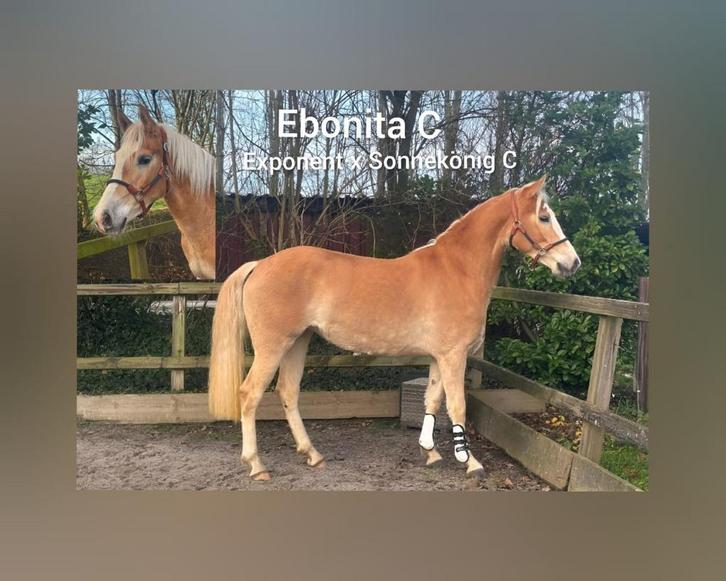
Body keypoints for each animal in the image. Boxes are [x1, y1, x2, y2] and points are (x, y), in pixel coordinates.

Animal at [207, 176, 580, 481]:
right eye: (544, 216)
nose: (572, 263)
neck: (457, 270)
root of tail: (259, 265)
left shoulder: (438, 357)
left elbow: (432, 400)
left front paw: (430, 452)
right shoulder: (453, 356)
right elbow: (457, 405)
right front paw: (470, 463)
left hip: (299, 342)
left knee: (288, 392)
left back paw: (312, 454)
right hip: (273, 346)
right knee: (250, 394)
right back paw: (257, 465)